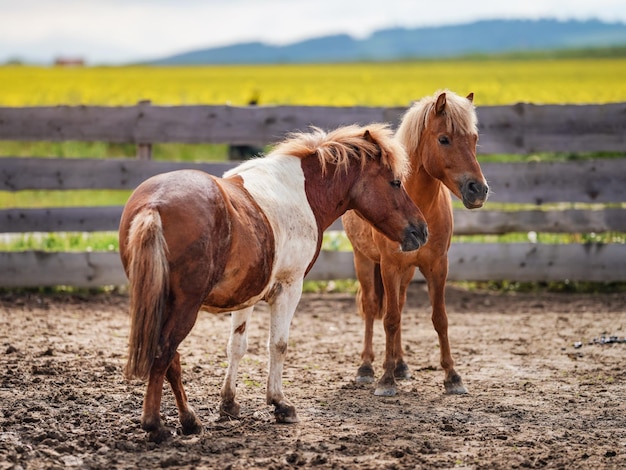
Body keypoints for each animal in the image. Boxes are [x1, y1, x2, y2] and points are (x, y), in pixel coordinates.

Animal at [117, 122, 426, 440]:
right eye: (395, 182)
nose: (421, 230)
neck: (301, 192)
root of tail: (154, 205)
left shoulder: (245, 295)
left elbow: (236, 345)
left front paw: (229, 404)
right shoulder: (289, 288)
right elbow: (278, 344)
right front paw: (280, 404)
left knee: (172, 359)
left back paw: (189, 420)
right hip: (184, 307)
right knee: (163, 352)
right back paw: (155, 424)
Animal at [342, 89, 488, 396]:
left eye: (474, 138)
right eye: (444, 139)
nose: (478, 190)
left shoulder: (437, 266)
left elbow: (439, 318)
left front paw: (452, 377)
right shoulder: (388, 266)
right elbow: (389, 319)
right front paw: (386, 380)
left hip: (407, 271)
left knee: (399, 303)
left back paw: (401, 365)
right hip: (364, 260)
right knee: (372, 306)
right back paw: (367, 367)